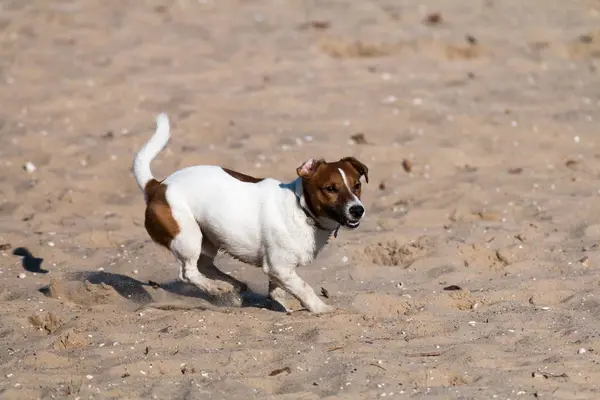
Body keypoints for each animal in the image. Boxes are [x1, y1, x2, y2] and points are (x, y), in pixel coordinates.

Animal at [132, 112, 368, 312]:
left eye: (356, 185)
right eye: (330, 189)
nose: (358, 210)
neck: (302, 210)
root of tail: (157, 186)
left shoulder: (277, 269)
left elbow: (278, 291)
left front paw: (285, 304)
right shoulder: (279, 267)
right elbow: (303, 287)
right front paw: (321, 308)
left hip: (207, 239)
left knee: (204, 265)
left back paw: (230, 284)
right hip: (188, 236)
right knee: (188, 273)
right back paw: (216, 288)